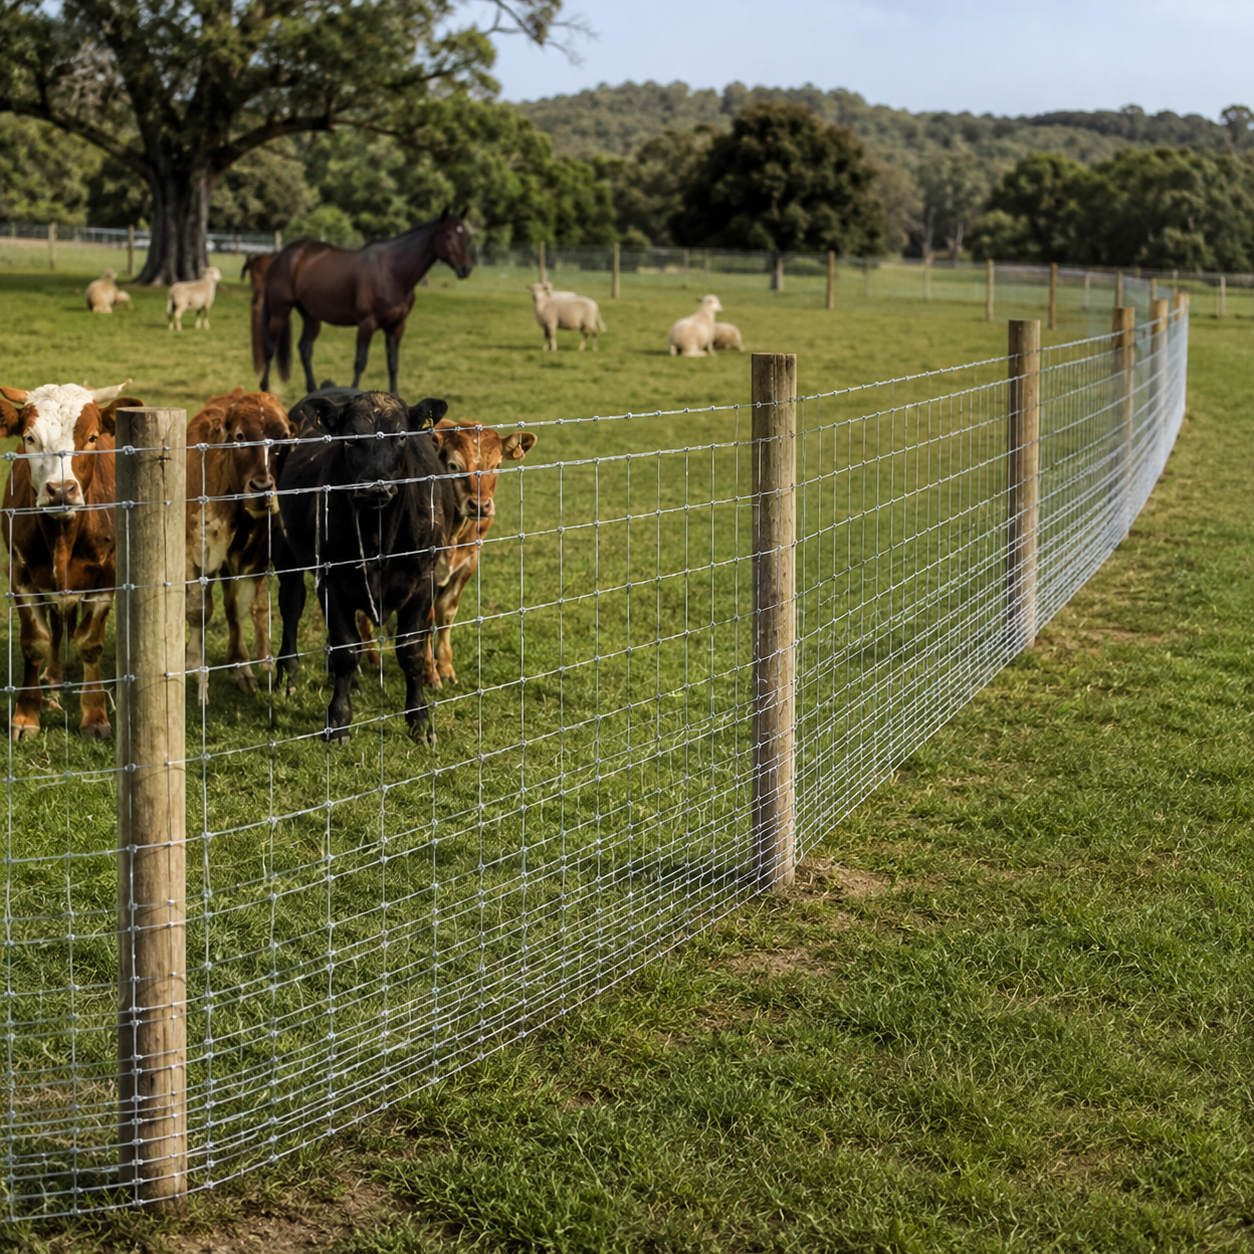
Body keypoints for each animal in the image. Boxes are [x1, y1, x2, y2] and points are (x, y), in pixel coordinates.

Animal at [0, 380, 143, 740]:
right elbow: (35, 642)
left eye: (91, 438)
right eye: (30, 437)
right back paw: (53, 672)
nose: (61, 490)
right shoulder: (20, 575)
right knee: (57, 625)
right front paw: (26, 716)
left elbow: (90, 643)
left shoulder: (107, 577)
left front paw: (94, 716)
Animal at [185, 388, 294, 704]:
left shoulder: (255, 559)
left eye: (284, 437)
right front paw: (196, 666)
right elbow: (199, 610)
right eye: (240, 436)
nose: (262, 488)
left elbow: (240, 609)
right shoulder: (195, 553)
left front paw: (241, 667)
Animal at [275, 388, 454, 741]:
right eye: (350, 438)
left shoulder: (421, 581)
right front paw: (338, 719)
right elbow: (346, 647)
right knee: (291, 605)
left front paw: (420, 719)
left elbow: (411, 651)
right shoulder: (331, 579)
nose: (374, 486)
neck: (379, 536)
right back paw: (288, 676)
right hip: (286, 550)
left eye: (401, 436)